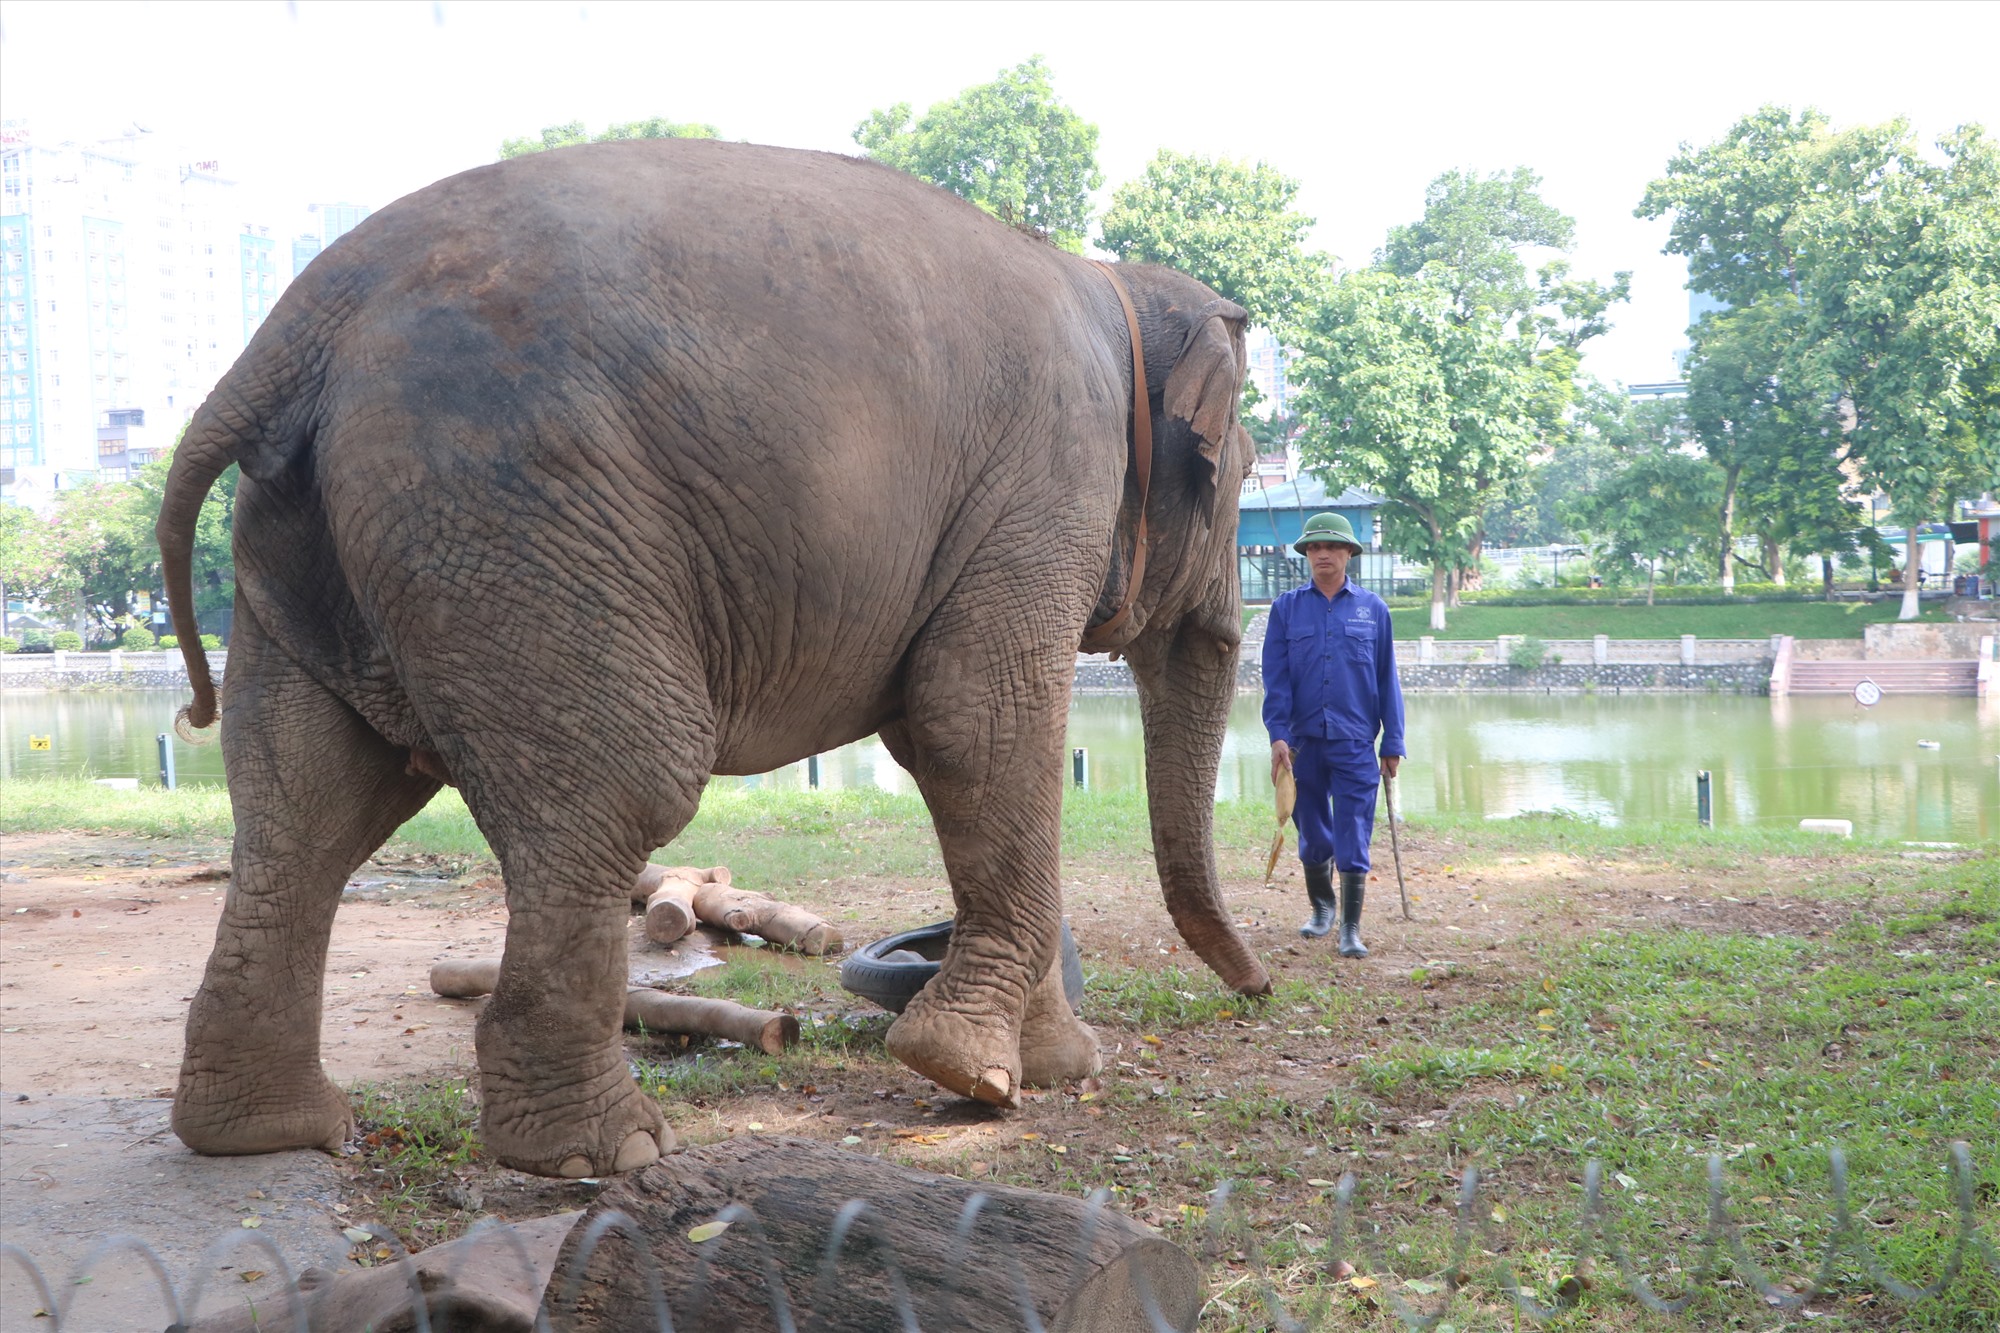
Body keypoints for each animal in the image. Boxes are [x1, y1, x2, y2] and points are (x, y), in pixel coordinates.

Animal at [164, 137, 1272, 1176]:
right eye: (1240, 471)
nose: (1258, 989)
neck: (1111, 281)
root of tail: (295, 329)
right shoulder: (1048, 482)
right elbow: (975, 727)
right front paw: (973, 1075)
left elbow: (951, 737)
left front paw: (1052, 1068)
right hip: (505, 500)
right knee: (629, 778)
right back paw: (601, 1153)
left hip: (322, 538)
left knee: (312, 798)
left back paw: (266, 1132)